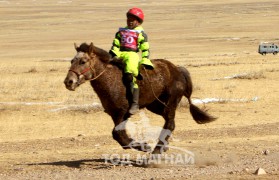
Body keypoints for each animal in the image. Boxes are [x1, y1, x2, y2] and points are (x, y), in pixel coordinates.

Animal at [64, 41, 217, 153]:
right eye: (72, 61)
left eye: (83, 61)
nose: (68, 82)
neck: (110, 78)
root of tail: (177, 69)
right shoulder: (114, 114)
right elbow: (118, 134)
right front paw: (140, 145)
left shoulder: (122, 113)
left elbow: (117, 134)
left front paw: (144, 146)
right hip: (156, 106)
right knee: (169, 122)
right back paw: (163, 146)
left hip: (170, 103)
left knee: (170, 123)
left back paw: (157, 150)